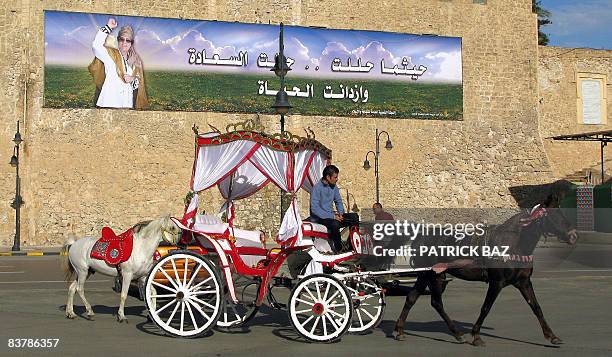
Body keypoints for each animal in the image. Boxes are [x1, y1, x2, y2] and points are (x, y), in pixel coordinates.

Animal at [394, 204, 576, 346]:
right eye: (552, 216)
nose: (573, 235)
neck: (512, 244)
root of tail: (420, 237)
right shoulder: (497, 282)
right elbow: (486, 307)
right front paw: (476, 336)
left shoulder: (524, 282)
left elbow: (536, 307)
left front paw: (552, 336)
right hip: (431, 275)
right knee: (434, 302)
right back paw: (456, 333)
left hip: (432, 274)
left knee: (414, 298)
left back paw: (400, 330)